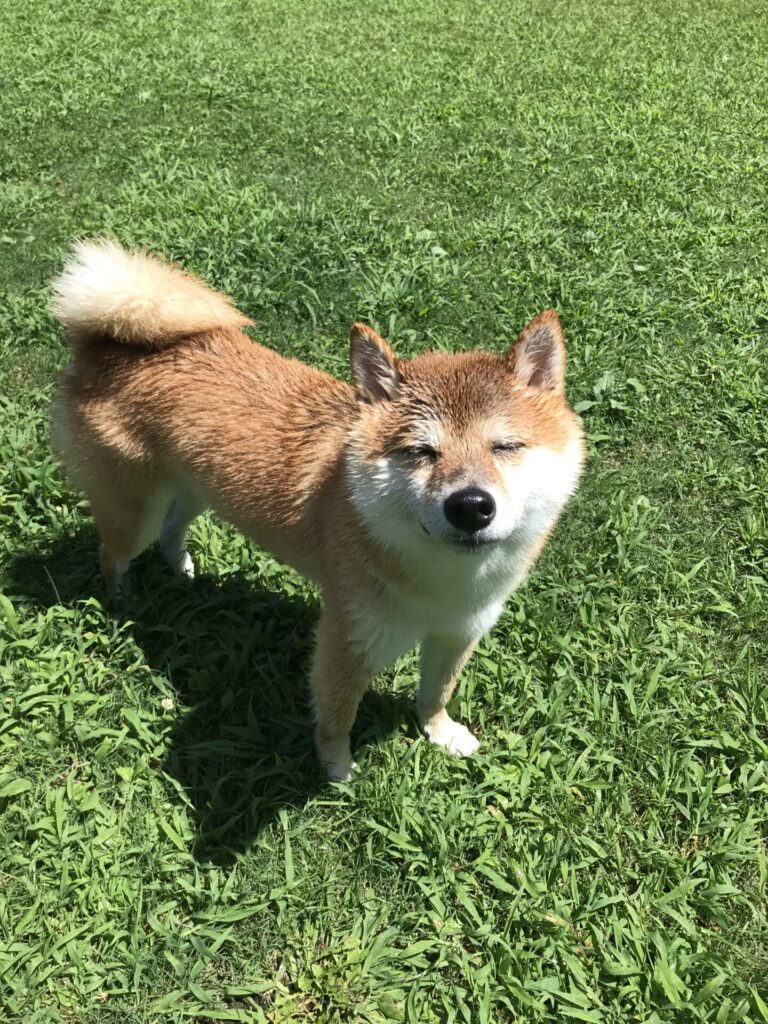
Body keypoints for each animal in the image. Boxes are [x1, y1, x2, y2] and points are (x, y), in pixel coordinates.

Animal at [51, 239, 584, 781]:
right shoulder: (347, 639)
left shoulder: (459, 632)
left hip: (195, 489)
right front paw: (337, 770)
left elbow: (437, 692)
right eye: (421, 452)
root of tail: (103, 347)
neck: (443, 580)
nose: (471, 506)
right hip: (133, 512)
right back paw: (123, 600)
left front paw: (440, 732)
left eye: (506, 447)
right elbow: (337, 712)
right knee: (113, 553)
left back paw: (180, 568)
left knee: (173, 528)